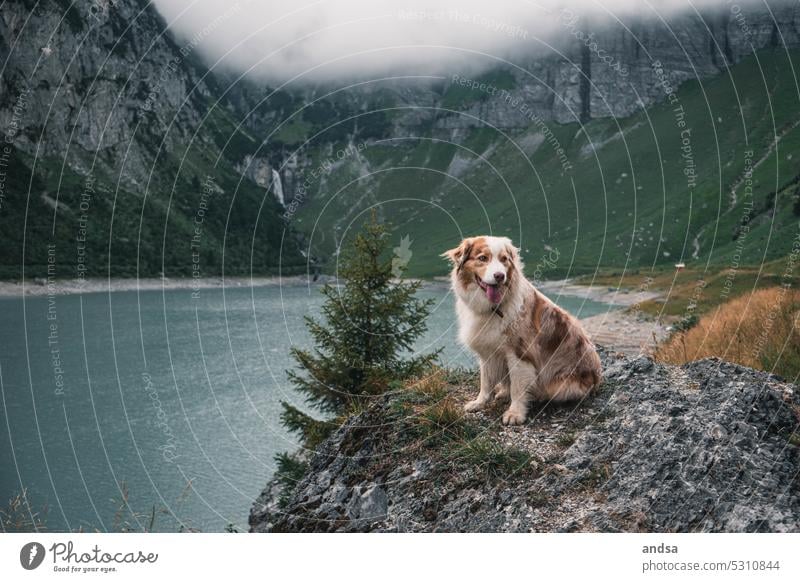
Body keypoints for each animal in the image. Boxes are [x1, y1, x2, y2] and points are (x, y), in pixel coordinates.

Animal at [444, 236, 600, 424]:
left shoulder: (519, 353)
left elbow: (518, 388)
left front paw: (515, 414)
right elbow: (486, 381)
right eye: (482, 258)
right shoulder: (487, 351)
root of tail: (597, 376)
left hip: (560, 385)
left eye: (504, 259)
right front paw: (479, 403)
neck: (494, 308)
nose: (500, 276)